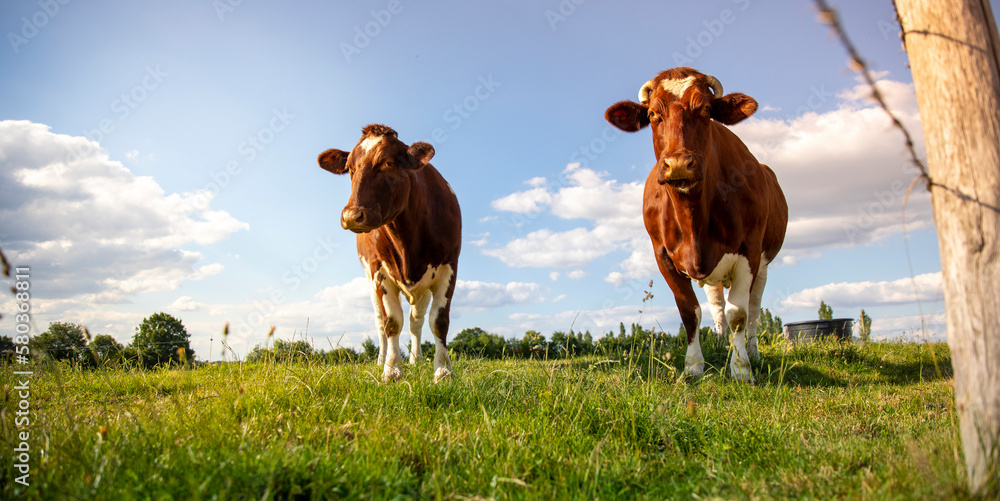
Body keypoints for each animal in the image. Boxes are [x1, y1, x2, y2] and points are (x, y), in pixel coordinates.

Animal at [317, 124, 461, 383]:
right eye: (350, 168)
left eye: (388, 163)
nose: (351, 216)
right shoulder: (379, 271)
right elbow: (391, 322)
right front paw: (392, 369)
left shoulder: (449, 267)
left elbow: (438, 321)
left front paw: (443, 370)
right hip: (369, 281)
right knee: (380, 322)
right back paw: (381, 360)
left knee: (416, 321)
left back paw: (416, 359)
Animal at [604, 67, 787, 382]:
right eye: (653, 114)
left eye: (705, 110)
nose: (678, 164)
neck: (694, 220)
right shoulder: (663, 255)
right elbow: (690, 312)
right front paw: (693, 366)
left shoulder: (749, 252)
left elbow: (739, 314)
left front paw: (741, 369)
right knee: (716, 305)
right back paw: (720, 343)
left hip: (763, 263)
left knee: (753, 310)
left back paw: (752, 352)